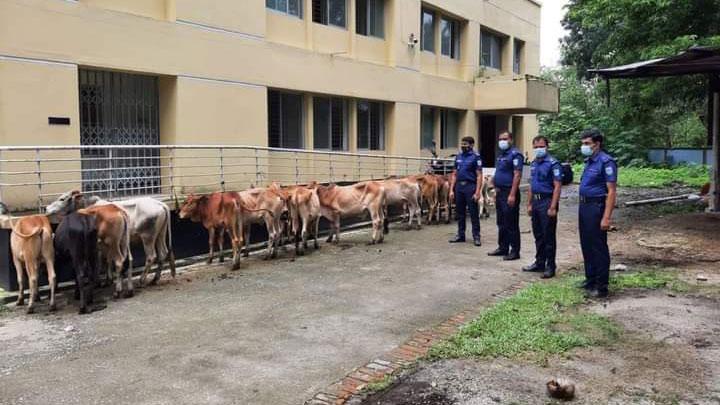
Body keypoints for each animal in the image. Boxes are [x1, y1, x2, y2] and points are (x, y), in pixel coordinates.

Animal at [47, 193, 175, 286]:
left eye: (62, 199)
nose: (47, 208)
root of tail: (161, 204)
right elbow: (109, 260)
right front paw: (110, 279)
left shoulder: (99, 246)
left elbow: (102, 262)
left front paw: (102, 280)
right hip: (160, 235)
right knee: (163, 253)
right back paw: (155, 279)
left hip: (147, 237)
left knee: (151, 257)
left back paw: (142, 280)